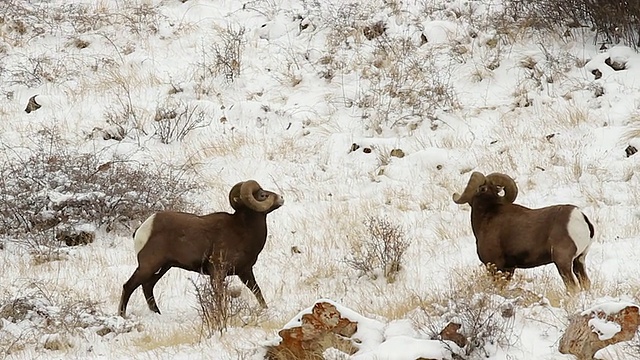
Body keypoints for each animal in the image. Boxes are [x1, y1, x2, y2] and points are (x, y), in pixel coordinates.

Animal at [117, 179, 282, 316]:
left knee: (147, 286)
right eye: (263, 195)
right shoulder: (217, 271)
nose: (281, 198)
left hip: (164, 267)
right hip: (149, 266)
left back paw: (157, 313)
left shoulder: (245, 272)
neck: (243, 230)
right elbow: (220, 295)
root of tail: (143, 229)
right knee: (129, 286)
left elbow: (257, 292)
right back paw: (122, 315)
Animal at [450, 173, 596, 294]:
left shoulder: (495, 266)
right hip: (579, 260)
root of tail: (580, 217)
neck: (487, 216)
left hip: (563, 262)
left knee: (572, 287)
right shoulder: (509, 268)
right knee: (585, 283)